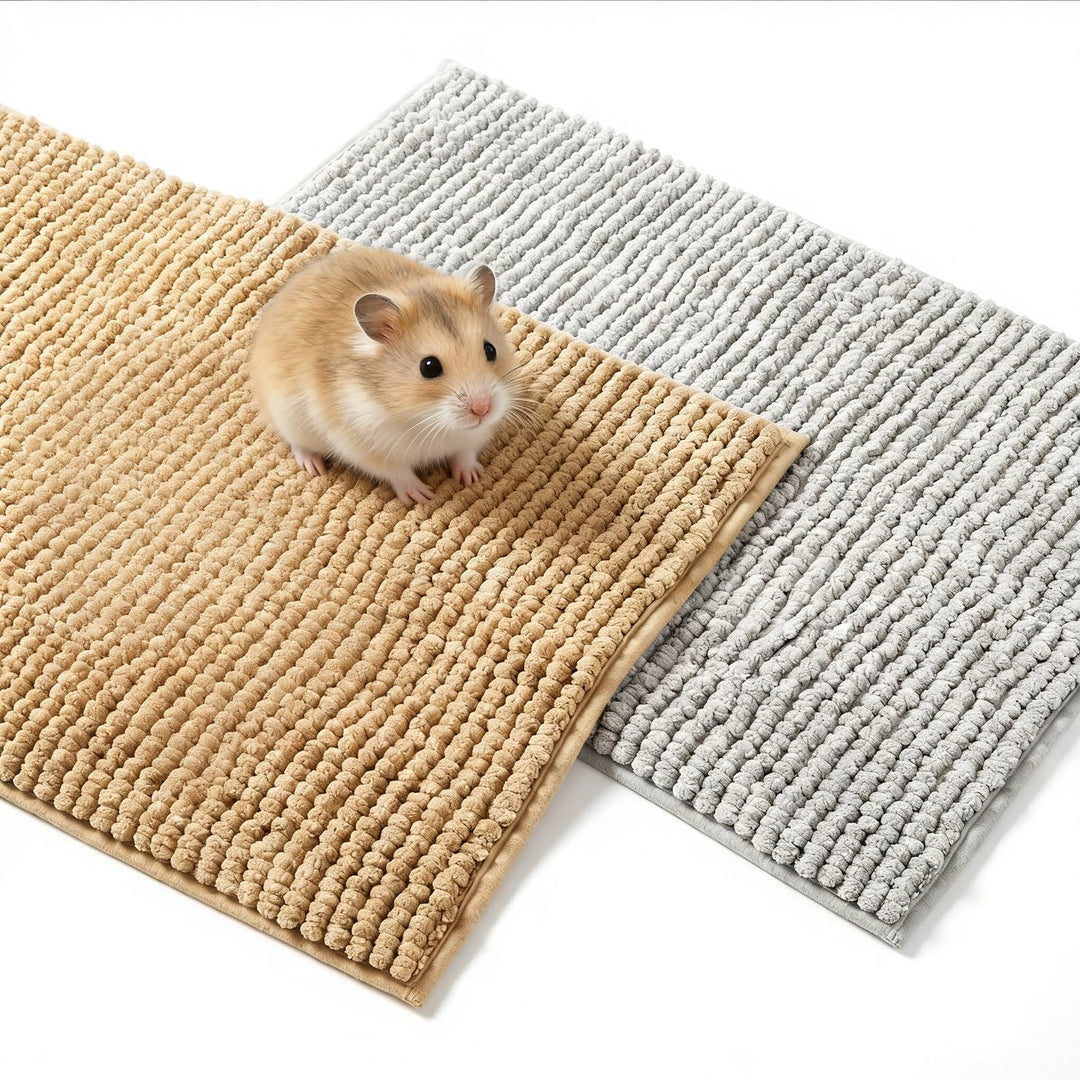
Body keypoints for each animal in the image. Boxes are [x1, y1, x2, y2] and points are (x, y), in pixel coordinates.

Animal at [248, 246, 529, 505]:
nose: (483, 410)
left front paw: (472, 478)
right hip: (288, 417)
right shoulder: (366, 448)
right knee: (296, 444)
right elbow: (399, 473)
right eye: (429, 367)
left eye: (490, 349)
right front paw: (423, 496)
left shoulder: (472, 437)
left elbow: (464, 454)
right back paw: (313, 466)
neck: (425, 418)